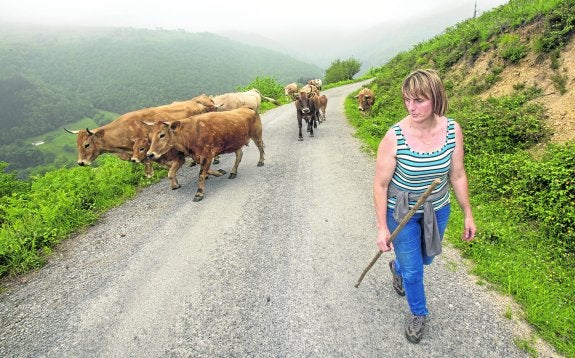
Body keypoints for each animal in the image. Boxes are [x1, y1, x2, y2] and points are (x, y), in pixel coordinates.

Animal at [63, 93, 216, 178]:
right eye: (77, 145)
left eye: (86, 145)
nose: (80, 163)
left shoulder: (145, 146)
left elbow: (148, 162)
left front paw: (151, 175)